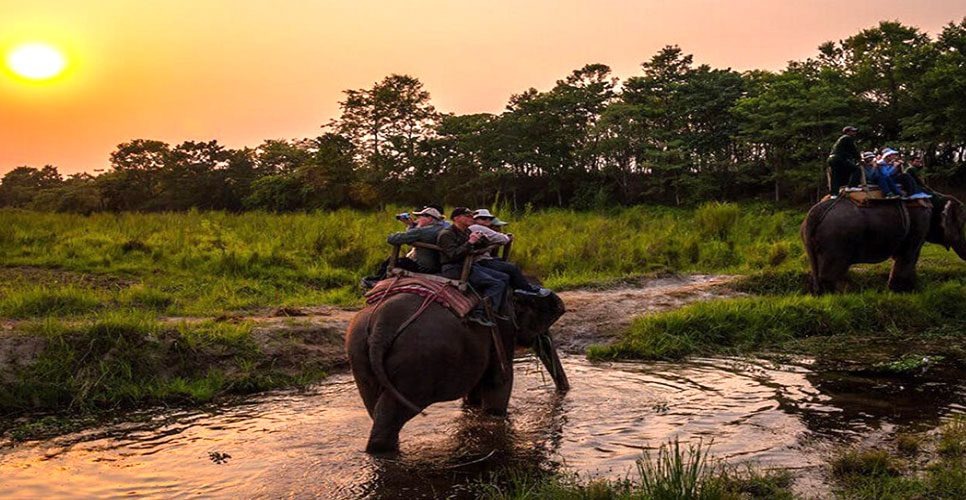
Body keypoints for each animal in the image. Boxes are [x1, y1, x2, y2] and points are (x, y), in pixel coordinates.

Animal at [345, 290, 569, 453]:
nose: (564, 391)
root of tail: (381, 326)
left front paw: (474, 408)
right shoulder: (502, 327)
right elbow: (499, 381)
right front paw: (495, 415)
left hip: (359, 352)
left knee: (376, 409)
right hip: (416, 363)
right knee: (392, 413)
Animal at [801, 194, 966, 294]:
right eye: (961, 225)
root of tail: (815, 213)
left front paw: (911, 289)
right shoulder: (920, 223)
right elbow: (909, 255)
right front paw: (899, 292)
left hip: (813, 241)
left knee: (817, 271)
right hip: (836, 240)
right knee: (829, 274)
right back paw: (840, 295)